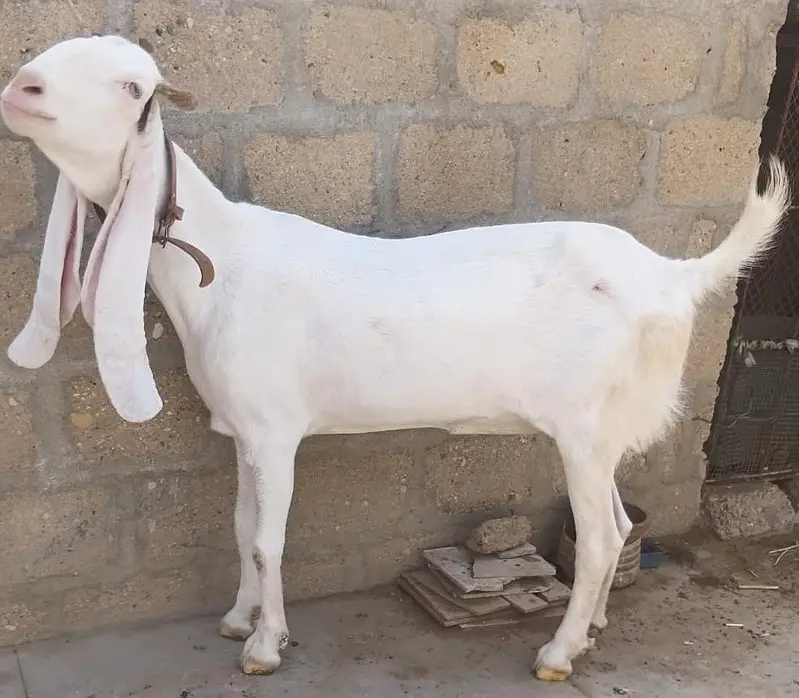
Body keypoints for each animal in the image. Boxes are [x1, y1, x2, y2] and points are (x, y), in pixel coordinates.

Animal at [0, 34, 790, 681]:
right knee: (621, 528)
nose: (23, 88)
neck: (220, 266)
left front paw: (265, 646)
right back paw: (591, 625)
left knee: (599, 539)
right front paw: (237, 619)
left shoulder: (276, 431)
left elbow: (268, 540)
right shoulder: (245, 432)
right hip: (604, 431)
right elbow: (242, 529)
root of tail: (671, 274)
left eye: (132, 86)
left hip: (584, 430)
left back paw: (559, 652)